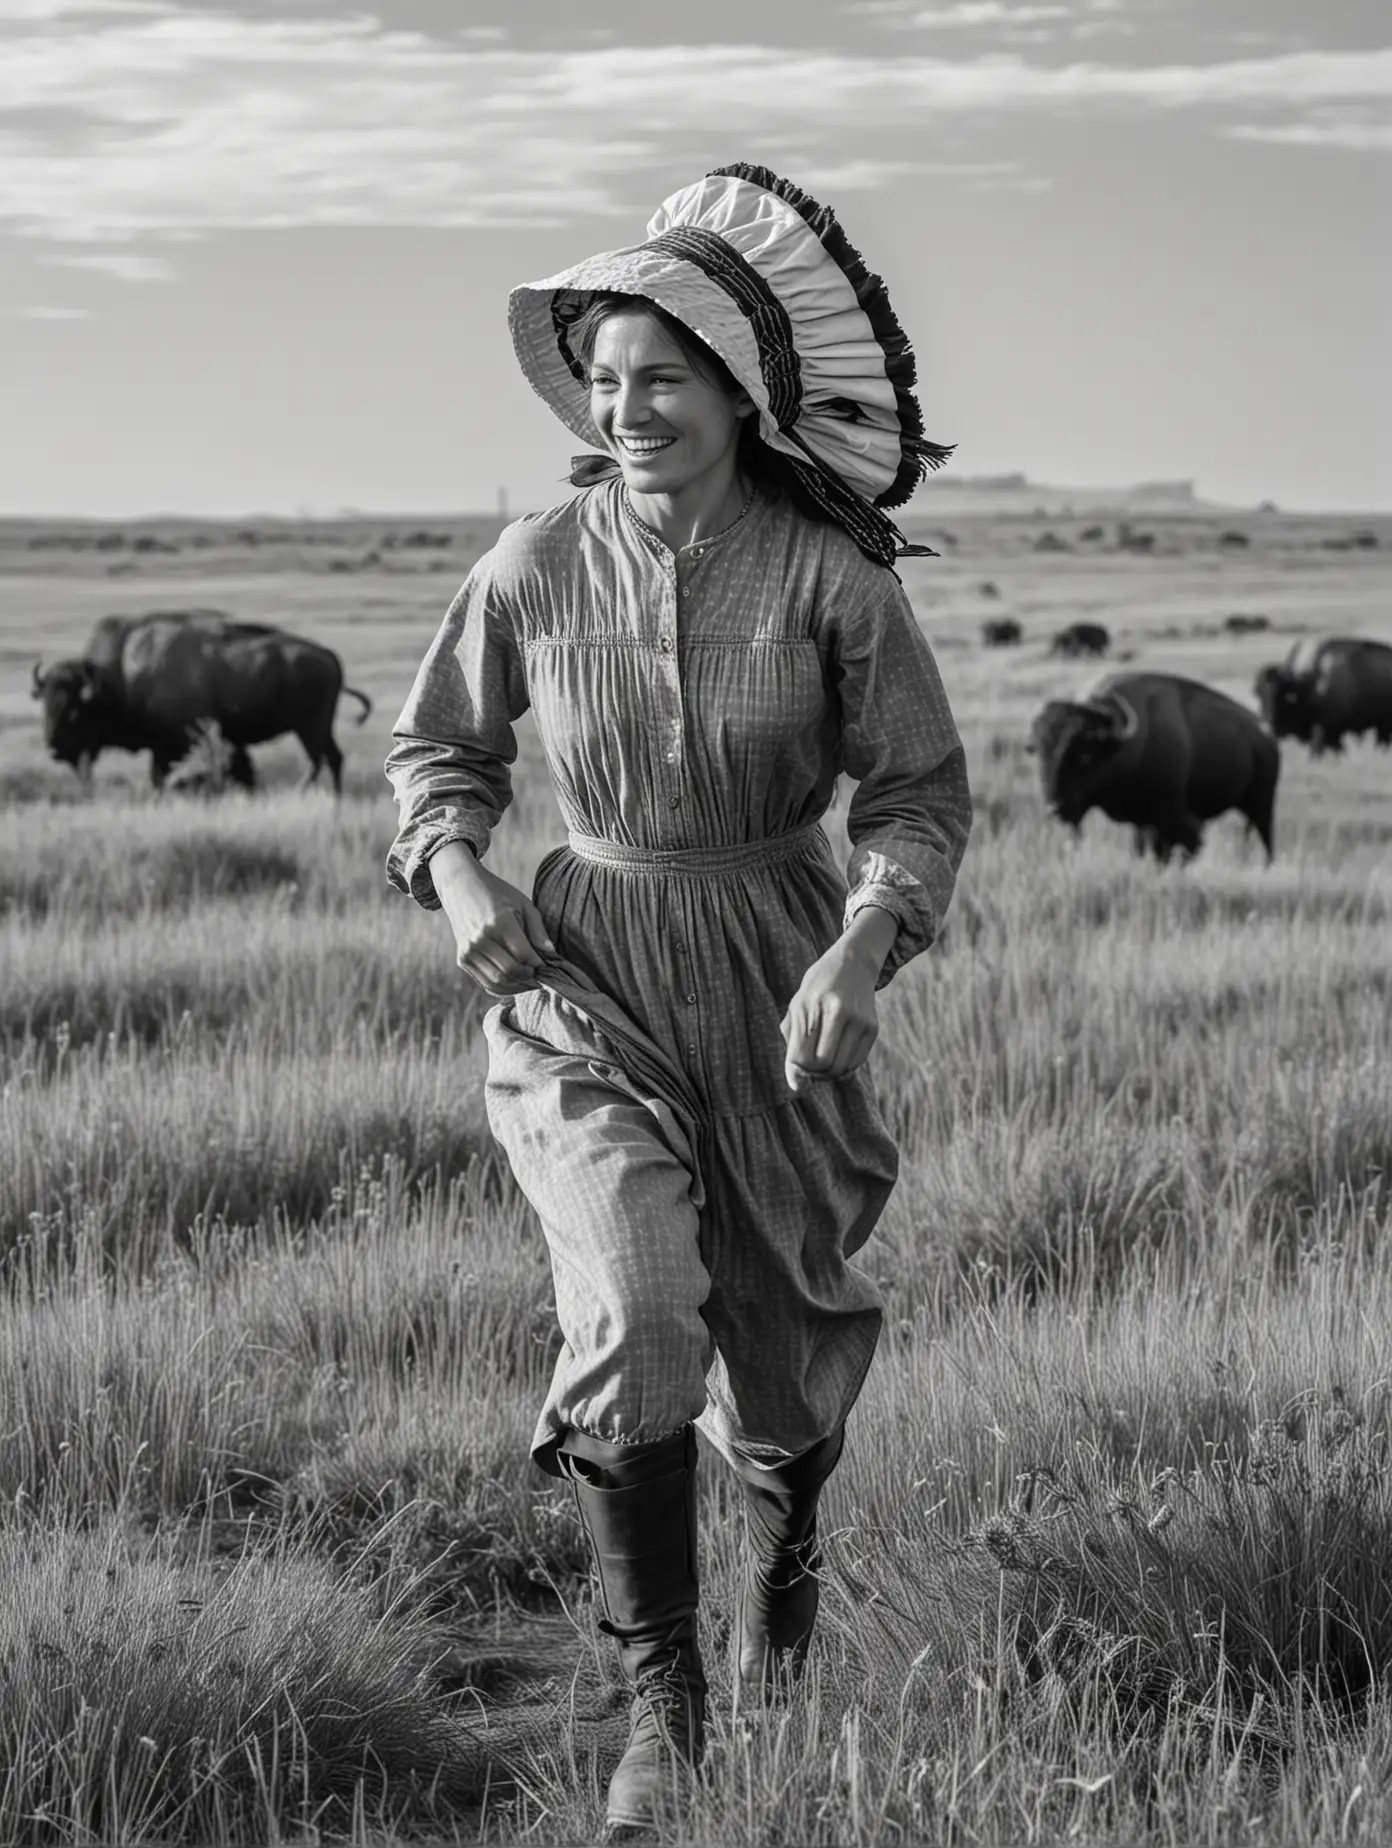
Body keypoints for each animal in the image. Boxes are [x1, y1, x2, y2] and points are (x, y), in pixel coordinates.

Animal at [32, 609, 369, 790]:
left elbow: (161, 777)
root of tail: (330, 657)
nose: (52, 748)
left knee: (322, 760)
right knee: (331, 758)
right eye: (45, 704)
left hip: (309, 727)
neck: (121, 676)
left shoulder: (171, 746)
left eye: (74, 711)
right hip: (315, 728)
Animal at [1027, 668, 1279, 861]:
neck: (1120, 745)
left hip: (1262, 804)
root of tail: (1266, 735)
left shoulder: (1175, 820)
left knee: (1267, 840)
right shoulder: (1144, 822)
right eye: (1040, 754)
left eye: (1084, 755)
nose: (1055, 808)